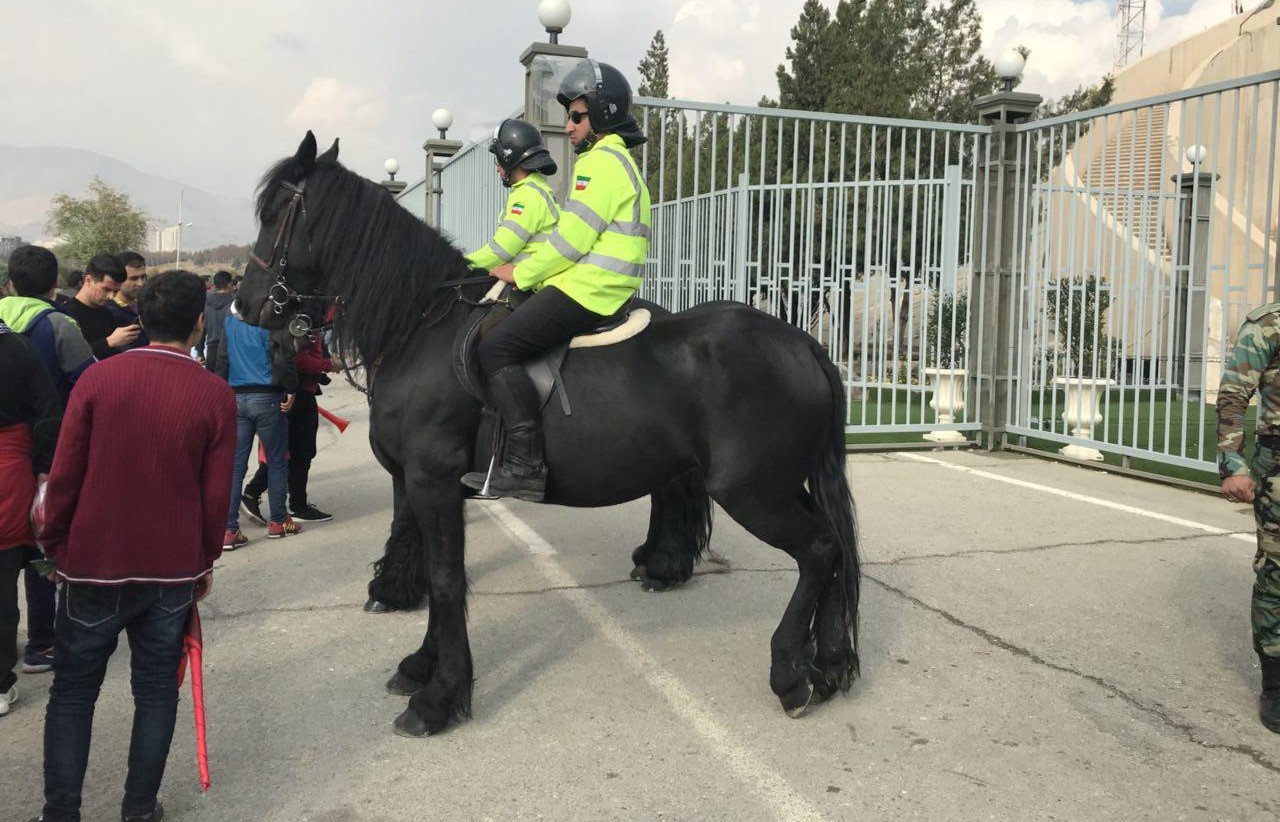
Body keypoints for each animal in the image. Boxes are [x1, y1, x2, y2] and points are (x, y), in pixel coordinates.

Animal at [240, 134, 860, 737]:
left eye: (272, 214)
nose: (247, 308)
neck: (421, 327)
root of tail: (804, 343)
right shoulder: (411, 485)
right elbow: (426, 565)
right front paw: (418, 665)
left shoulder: (433, 483)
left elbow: (447, 580)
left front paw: (439, 698)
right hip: (780, 484)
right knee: (834, 547)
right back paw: (828, 663)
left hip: (752, 492)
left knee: (818, 550)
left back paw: (789, 671)